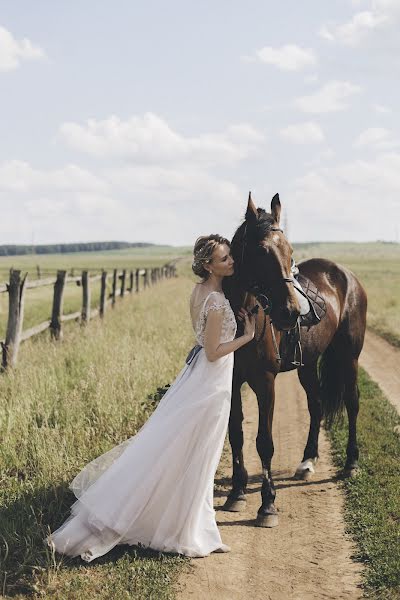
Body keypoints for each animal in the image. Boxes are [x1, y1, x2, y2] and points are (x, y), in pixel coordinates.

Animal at [223, 192, 368, 524]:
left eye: (289, 252)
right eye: (261, 252)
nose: (291, 312)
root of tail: (346, 275)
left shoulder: (266, 382)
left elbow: (264, 441)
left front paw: (267, 504)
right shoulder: (233, 381)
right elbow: (236, 434)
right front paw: (237, 493)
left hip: (349, 357)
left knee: (352, 402)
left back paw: (351, 463)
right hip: (309, 366)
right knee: (316, 406)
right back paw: (307, 461)